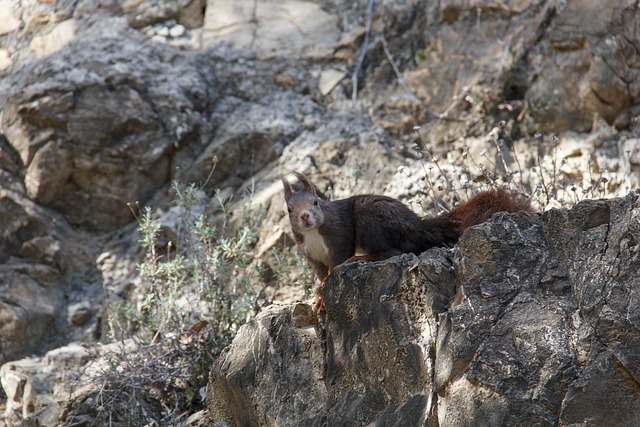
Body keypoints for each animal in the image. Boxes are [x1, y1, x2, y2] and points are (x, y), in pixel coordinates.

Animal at [282, 171, 532, 310]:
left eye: (316, 202)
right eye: (289, 209)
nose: (305, 217)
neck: (313, 233)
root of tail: (418, 227)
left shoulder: (339, 238)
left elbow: (336, 263)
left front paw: (323, 292)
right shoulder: (312, 256)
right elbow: (320, 273)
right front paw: (316, 295)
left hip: (369, 217)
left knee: (391, 251)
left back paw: (361, 258)